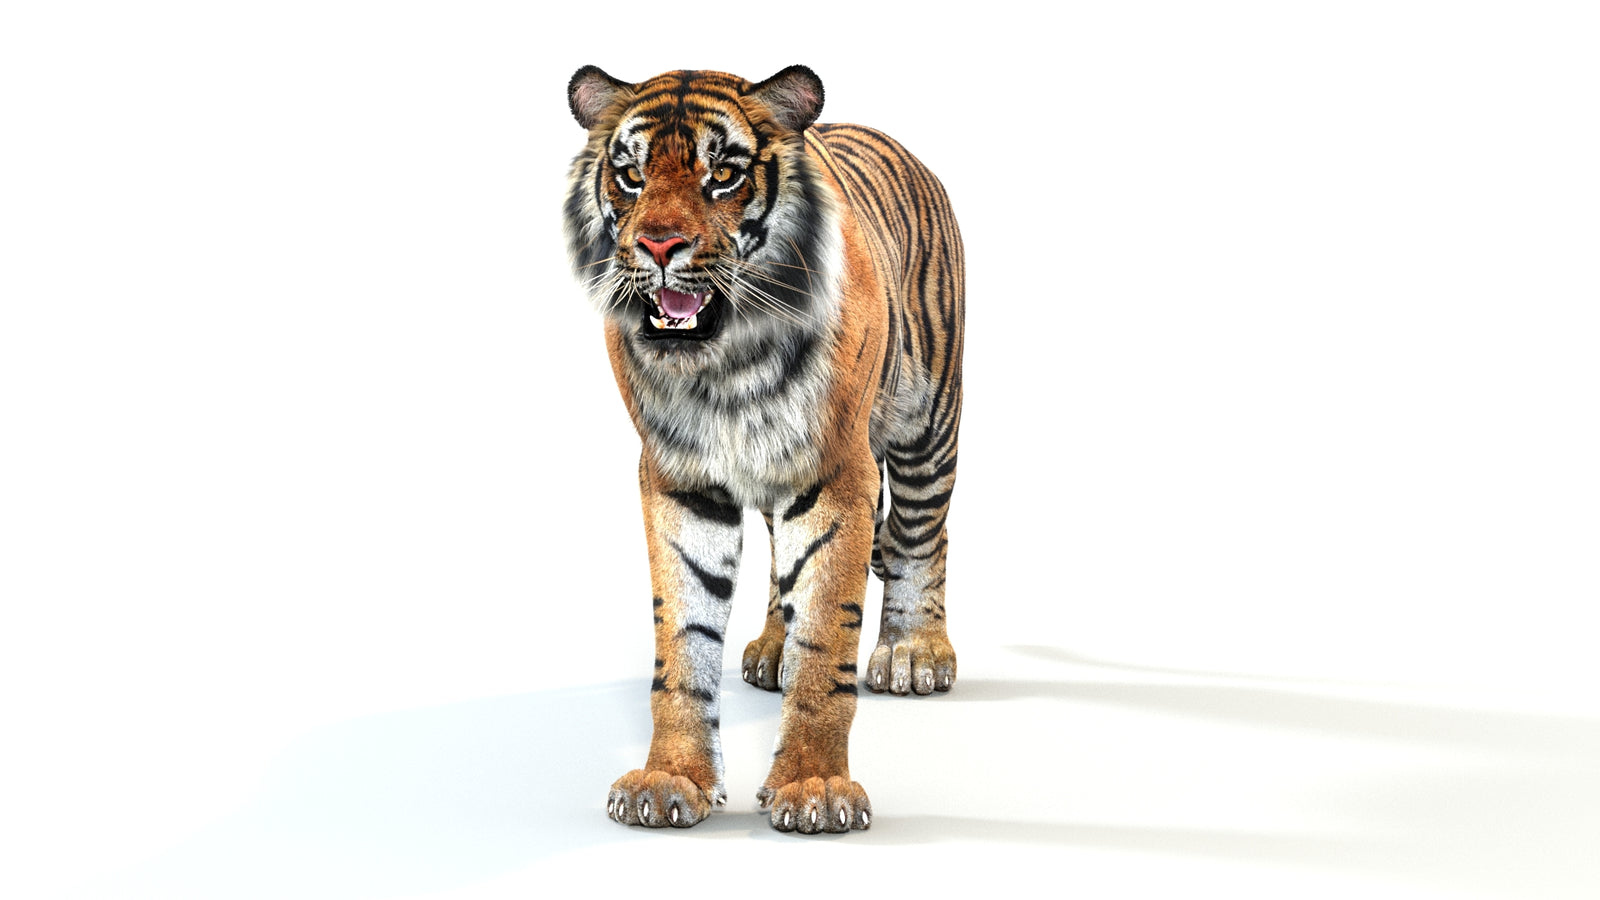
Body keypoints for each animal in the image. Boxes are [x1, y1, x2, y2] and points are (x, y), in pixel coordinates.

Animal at [563, 64, 963, 834]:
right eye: (630, 175)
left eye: (723, 174)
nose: (659, 246)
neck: (725, 362)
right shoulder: (678, 478)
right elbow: (683, 639)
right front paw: (671, 780)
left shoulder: (837, 472)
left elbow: (827, 636)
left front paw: (815, 788)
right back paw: (773, 651)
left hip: (928, 419)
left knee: (923, 533)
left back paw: (914, 652)